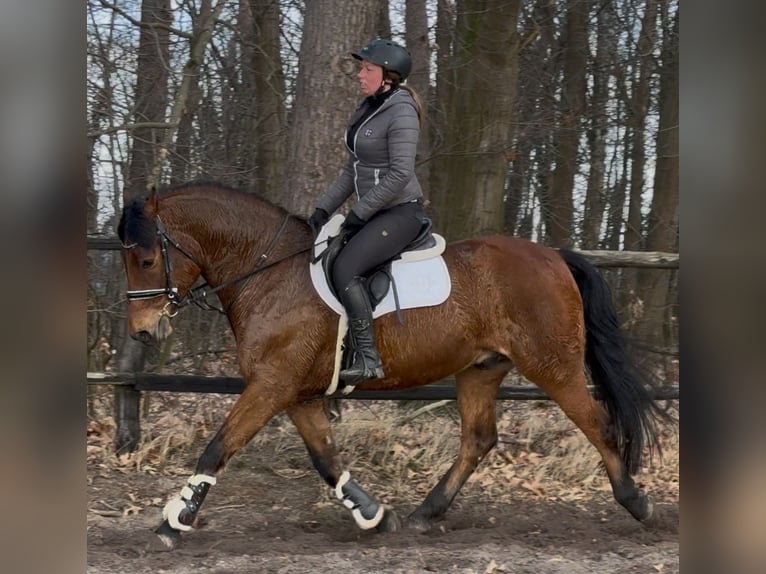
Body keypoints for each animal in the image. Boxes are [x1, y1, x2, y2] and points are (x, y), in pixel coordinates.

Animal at [118, 182, 664, 552]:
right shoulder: (294, 392)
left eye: (146, 260)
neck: (268, 271)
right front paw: (375, 516)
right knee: (478, 439)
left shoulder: (271, 386)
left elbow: (218, 448)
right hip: (481, 369)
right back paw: (426, 512)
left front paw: (173, 522)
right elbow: (326, 459)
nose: (142, 332)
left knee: (597, 424)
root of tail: (553, 256)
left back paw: (637, 503)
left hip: (554, 366)